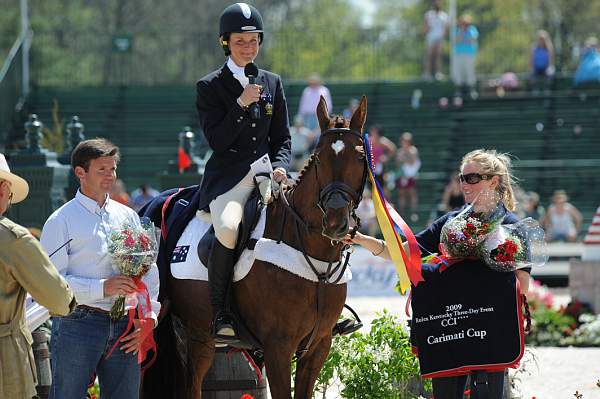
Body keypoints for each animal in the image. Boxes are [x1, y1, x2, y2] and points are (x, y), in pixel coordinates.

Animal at [145, 95, 368, 398]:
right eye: (319, 158)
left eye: (360, 157)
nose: (335, 221)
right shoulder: (278, 347)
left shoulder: (318, 347)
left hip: (199, 336)